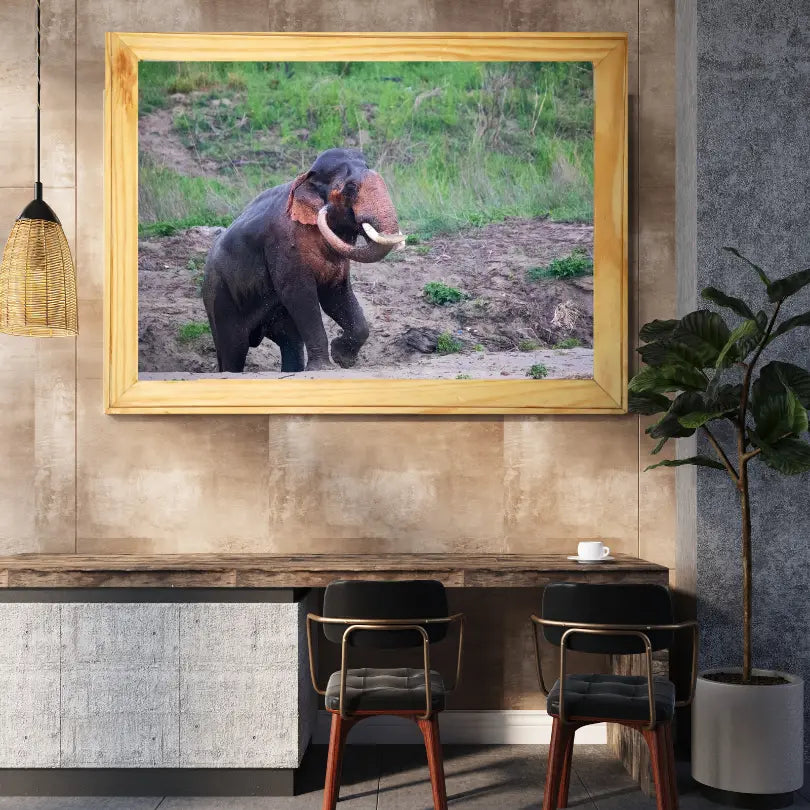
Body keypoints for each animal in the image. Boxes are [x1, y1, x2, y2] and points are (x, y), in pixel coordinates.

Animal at [202, 148, 405, 373]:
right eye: (350, 188)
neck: (307, 178)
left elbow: (335, 295)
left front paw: (342, 357)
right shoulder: (282, 242)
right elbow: (299, 295)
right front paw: (324, 367)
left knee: (290, 341)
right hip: (219, 299)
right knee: (233, 348)